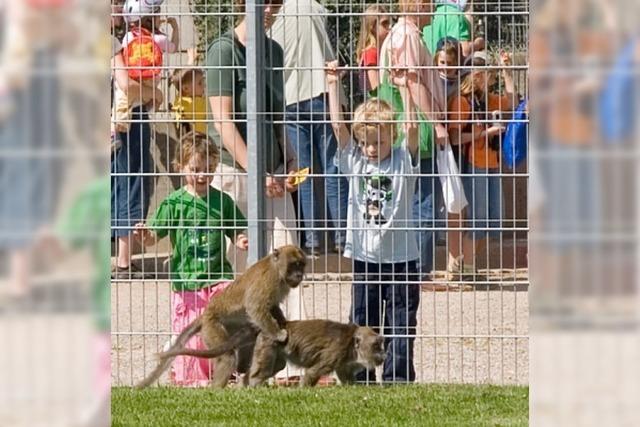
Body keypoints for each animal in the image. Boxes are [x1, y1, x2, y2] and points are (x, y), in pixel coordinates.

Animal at [136, 246, 308, 390]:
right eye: (294, 264)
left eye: (301, 265)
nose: (299, 275)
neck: (277, 269)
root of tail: (206, 314)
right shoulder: (268, 281)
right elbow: (255, 307)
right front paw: (279, 333)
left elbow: (272, 307)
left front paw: (282, 323)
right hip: (212, 327)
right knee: (227, 356)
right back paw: (217, 389)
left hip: (231, 328)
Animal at [156, 320, 388, 388]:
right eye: (377, 346)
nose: (384, 355)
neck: (351, 344)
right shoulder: (336, 352)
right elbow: (312, 373)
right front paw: (304, 390)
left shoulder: (343, 359)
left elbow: (346, 377)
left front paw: (352, 388)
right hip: (268, 344)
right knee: (264, 369)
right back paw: (254, 385)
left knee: (275, 367)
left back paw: (244, 385)